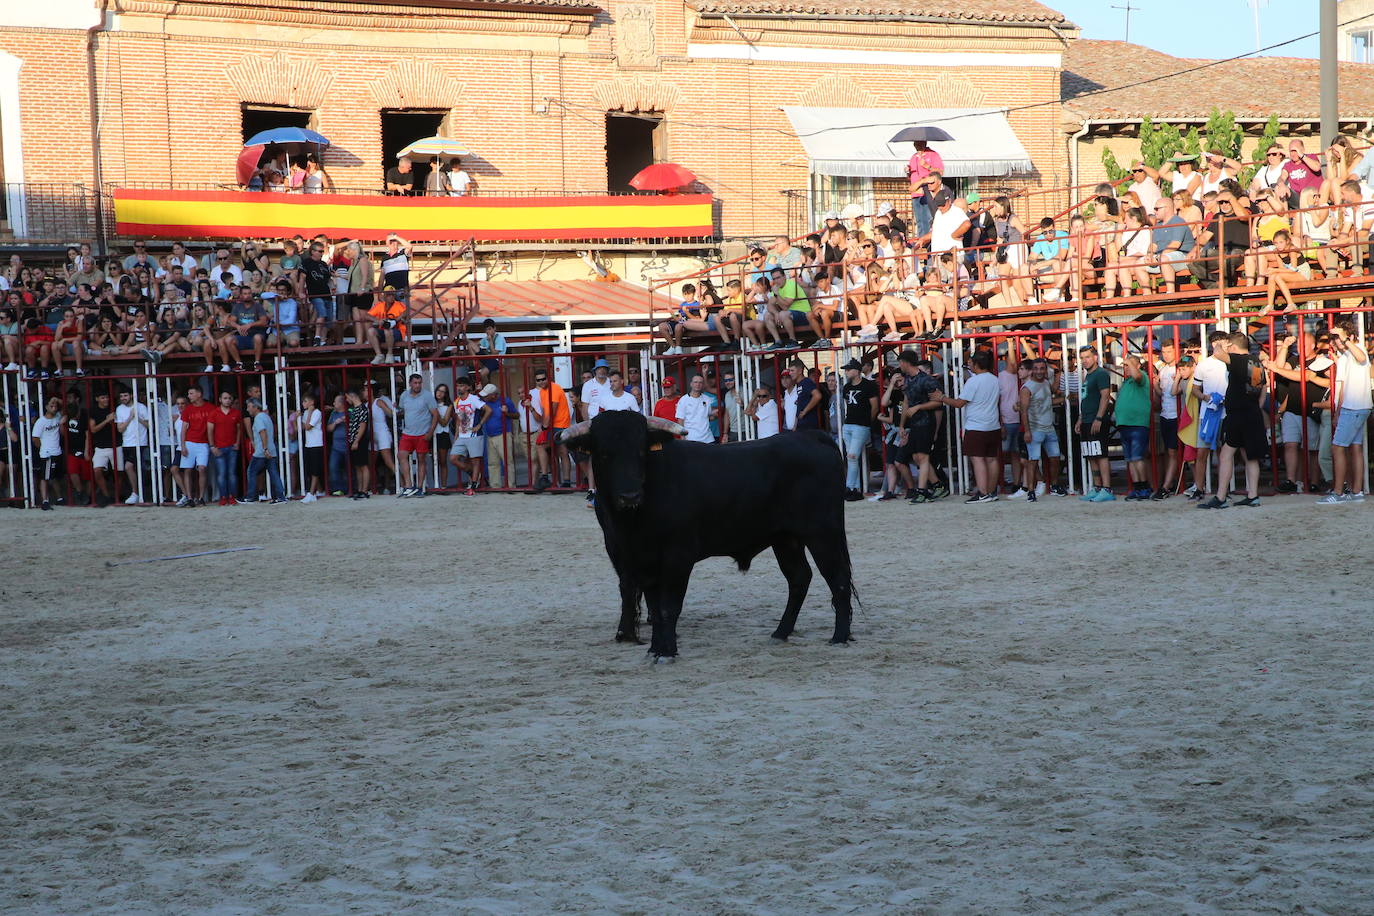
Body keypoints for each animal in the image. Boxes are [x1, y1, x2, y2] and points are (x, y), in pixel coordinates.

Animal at [557, 409, 846, 659]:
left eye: (640, 451)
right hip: (786, 539)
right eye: (604, 454)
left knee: (838, 578)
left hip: (824, 532)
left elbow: (668, 606)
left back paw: (840, 637)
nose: (630, 496)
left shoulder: (678, 556)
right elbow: (653, 605)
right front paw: (654, 648)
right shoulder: (640, 559)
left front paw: (667, 652)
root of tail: (811, 437)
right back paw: (780, 633)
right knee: (799, 578)